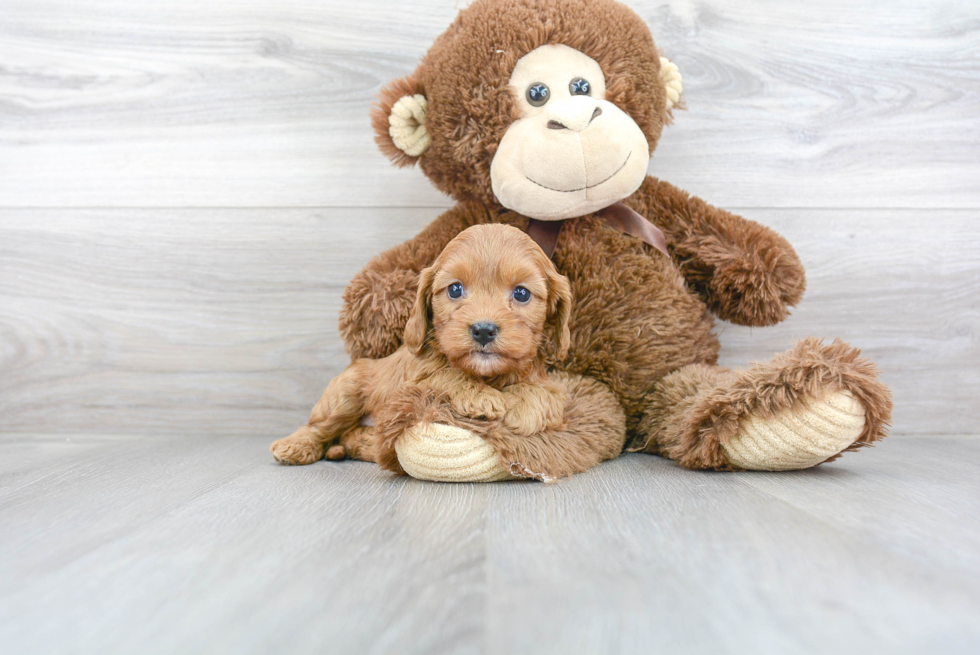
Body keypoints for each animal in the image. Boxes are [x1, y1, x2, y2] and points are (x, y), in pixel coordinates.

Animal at [270, 224, 576, 466]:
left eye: (522, 293)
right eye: (455, 289)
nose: (483, 330)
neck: (488, 375)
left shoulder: (547, 382)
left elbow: (548, 395)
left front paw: (524, 406)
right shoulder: (411, 382)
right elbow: (444, 374)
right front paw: (481, 396)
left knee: (353, 437)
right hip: (345, 393)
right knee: (321, 427)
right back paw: (294, 446)